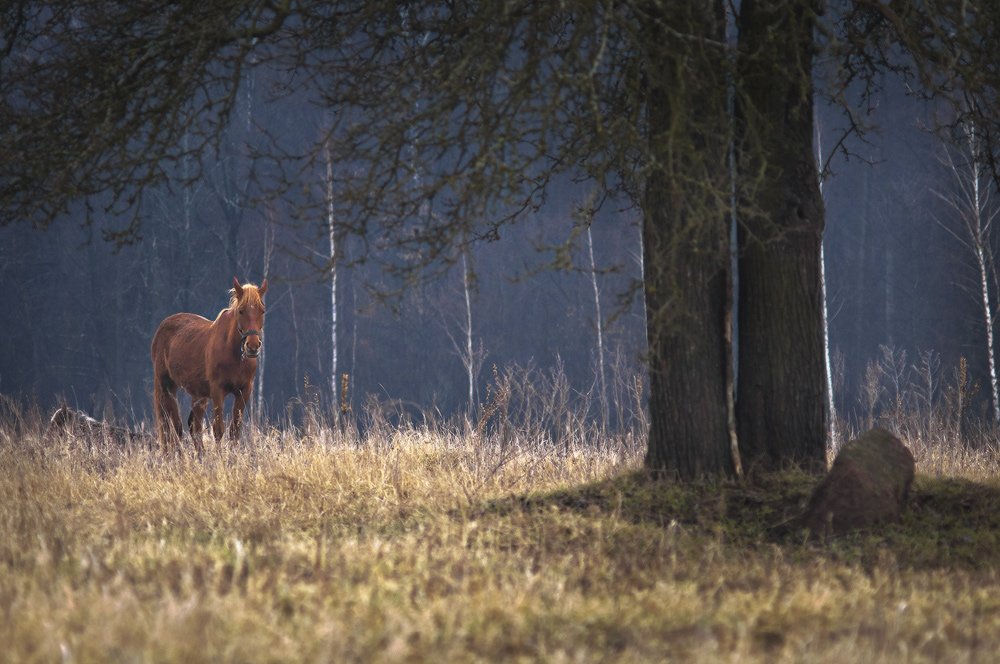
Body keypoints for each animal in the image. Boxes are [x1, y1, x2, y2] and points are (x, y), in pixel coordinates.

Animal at [150, 278, 268, 454]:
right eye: (241, 311)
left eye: (262, 311)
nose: (252, 346)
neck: (234, 354)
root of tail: (163, 326)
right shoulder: (217, 390)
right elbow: (218, 430)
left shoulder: (244, 391)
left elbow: (235, 430)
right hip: (166, 386)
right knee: (171, 426)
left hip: (198, 395)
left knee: (193, 426)